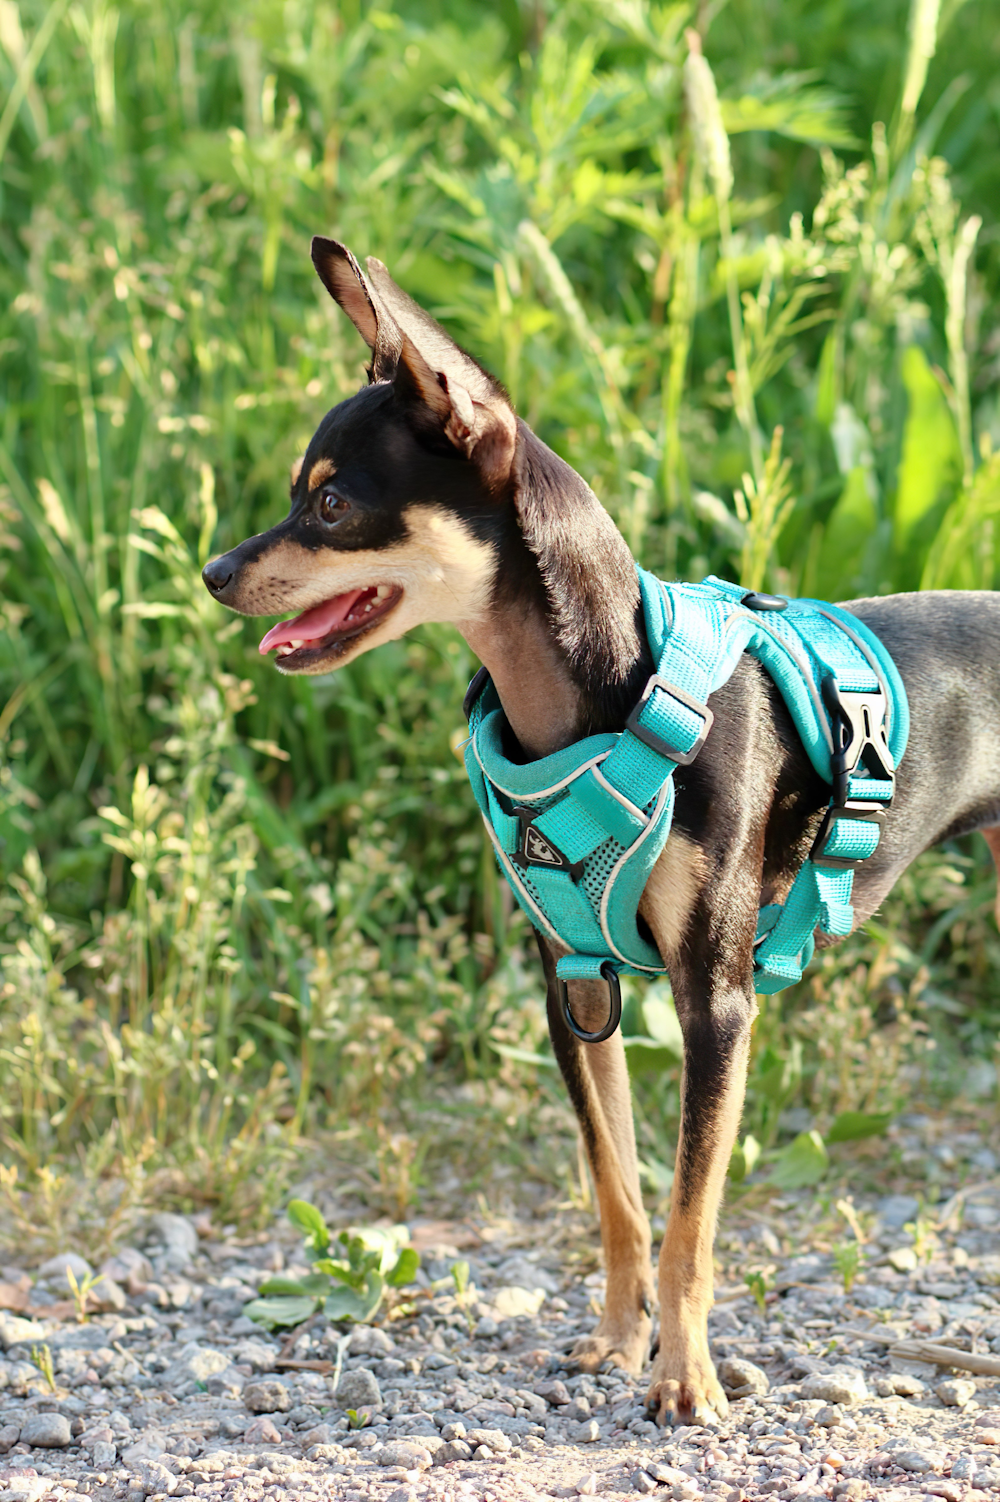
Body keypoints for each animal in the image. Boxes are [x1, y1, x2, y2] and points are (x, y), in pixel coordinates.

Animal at [201, 240, 996, 1423]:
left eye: (332, 502)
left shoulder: (717, 1001)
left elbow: (689, 1223)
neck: (595, 700)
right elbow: (618, 1193)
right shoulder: (574, 986)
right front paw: (621, 1342)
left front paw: (686, 1376)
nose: (213, 573)